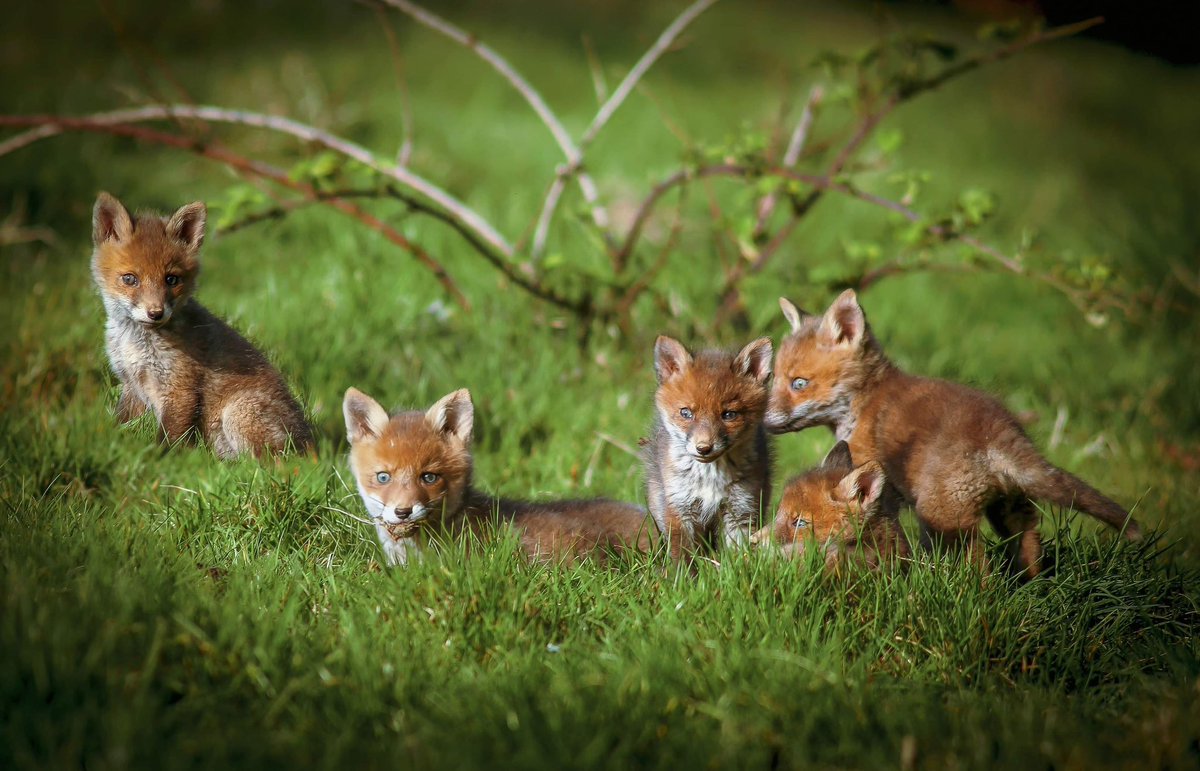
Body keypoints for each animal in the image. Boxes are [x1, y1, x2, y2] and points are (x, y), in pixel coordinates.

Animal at [91, 192, 313, 459]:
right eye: (130, 279)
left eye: (171, 279)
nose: (155, 313)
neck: (135, 343)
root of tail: (312, 446)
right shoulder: (132, 385)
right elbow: (119, 426)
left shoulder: (181, 388)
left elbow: (167, 440)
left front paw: (158, 461)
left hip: (239, 413)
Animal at [643, 335, 774, 558]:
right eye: (686, 413)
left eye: (729, 415)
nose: (703, 448)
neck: (709, 478)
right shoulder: (679, 509)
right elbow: (683, 558)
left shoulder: (740, 511)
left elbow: (737, 557)